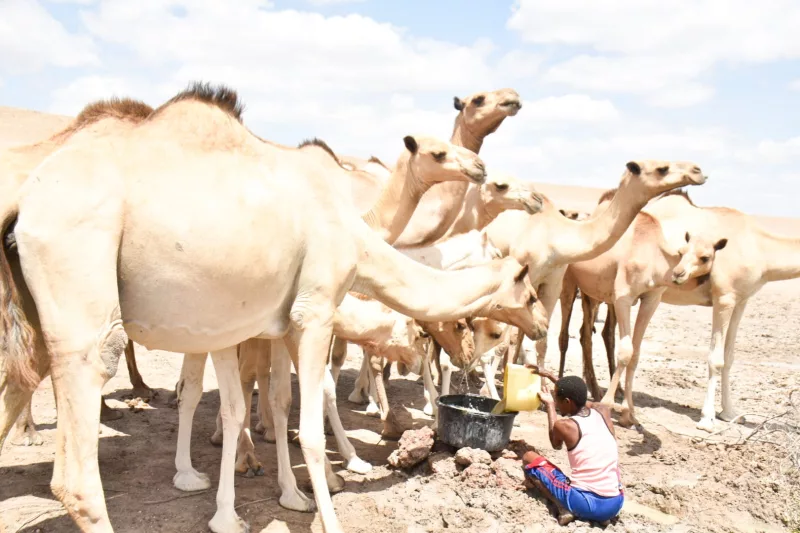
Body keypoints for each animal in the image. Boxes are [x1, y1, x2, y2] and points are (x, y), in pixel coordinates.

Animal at [0, 83, 545, 533]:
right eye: (531, 293)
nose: (539, 323)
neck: (359, 231)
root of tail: (23, 204)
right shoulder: (316, 312)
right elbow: (308, 421)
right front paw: (330, 500)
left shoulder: (272, 324)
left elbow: (274, 404)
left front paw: (284, 495)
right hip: (78, 279)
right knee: (82, 444)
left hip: (36, 313)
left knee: (19, 381)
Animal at [555, 189, 728, 427]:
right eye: (682, 251)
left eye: (705, 257)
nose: (679, 273)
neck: (654, 258)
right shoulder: (623, 297)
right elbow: (625, 351)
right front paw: (608, 404)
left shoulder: (652, 299)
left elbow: (635, 354)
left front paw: (629, 413)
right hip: (569, 282)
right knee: (564, 335)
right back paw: (560, 386)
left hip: (592, 292)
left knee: (585, 334)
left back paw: (592, 389)